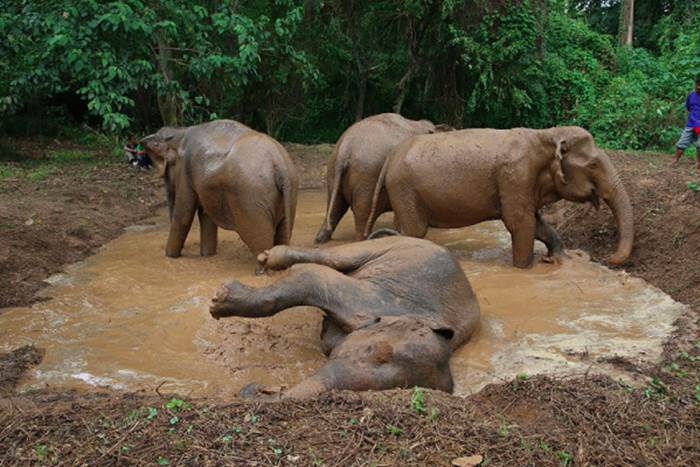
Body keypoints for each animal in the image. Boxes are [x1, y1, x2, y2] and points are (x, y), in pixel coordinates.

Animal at [141, 119, 296, 270]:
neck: (179, 132)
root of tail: (279, 163)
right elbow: (205, 216)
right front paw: (207, 255)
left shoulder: (185, 171)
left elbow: (183, 216)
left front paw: (169, 256)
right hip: (289, 191)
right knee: (282, 234)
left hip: (251, 198)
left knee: (260, 241)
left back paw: (260, 271)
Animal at [209, 232, 482, 400]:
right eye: (372, 351)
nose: (259, 387)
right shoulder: (376, 300)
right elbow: (309, 276)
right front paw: (218, 301)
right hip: (387, 246)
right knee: (337, 256)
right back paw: (267, 258)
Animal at [314, 114, 454, 245]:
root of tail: (345, 149)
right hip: (368, 176)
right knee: (362, 211)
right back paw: (364, 239)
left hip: (333, 171)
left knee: (335, 204)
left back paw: (320, 239)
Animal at [366, 126, 636, 268]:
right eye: (593, 165)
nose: (609, 258)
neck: (545, 135)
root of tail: (391, 157)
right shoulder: (515, 176)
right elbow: (520, 224)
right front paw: (524, 268)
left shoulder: (524, 183)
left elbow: (536, 223)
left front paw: (559, 259)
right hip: (405, 188)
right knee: (414, 230)